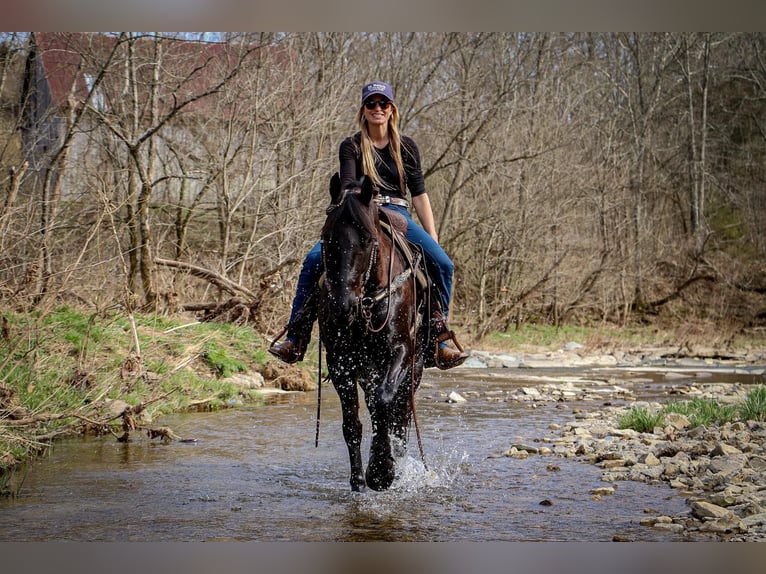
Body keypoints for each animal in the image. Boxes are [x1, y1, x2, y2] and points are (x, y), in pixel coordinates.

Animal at [316, 173, 426, 492]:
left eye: (366, 239)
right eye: (327, 238)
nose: (343, 307)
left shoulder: (401, 352)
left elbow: (384, 402)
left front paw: (381, 472)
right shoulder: (340, 362)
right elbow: (352, 422)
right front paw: (359, 481)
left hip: (413, 370)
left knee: (399, 418)